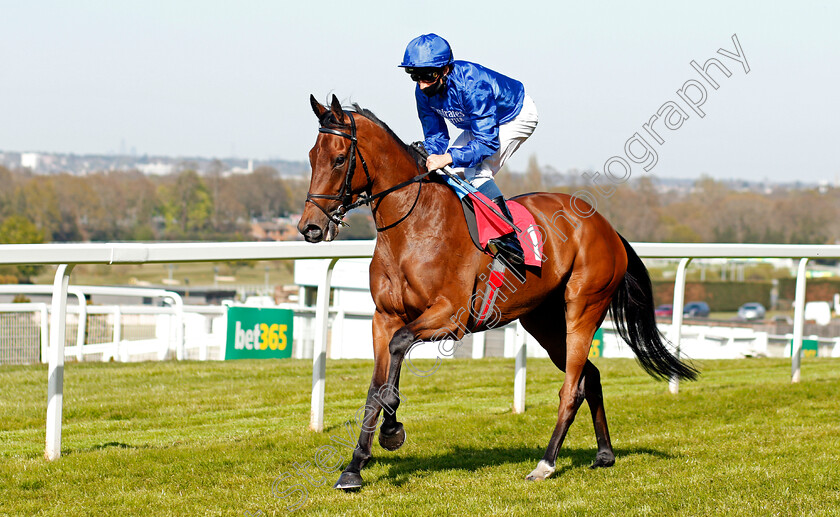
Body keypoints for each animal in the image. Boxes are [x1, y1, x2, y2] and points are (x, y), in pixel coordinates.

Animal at [296, 95, 696, 488]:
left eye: (339, 158)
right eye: (312, 156)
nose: (310, 227)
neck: (414, 227)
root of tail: (607, 227)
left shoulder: (449, 317)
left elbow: (398, 351)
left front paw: (392, 431)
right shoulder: (384, 317)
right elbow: (375, 387)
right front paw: (355, 466)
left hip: (583, 308)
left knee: (571, 388)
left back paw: (545, 464)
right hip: (545, 322)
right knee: (590, 376)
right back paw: (605, 454)